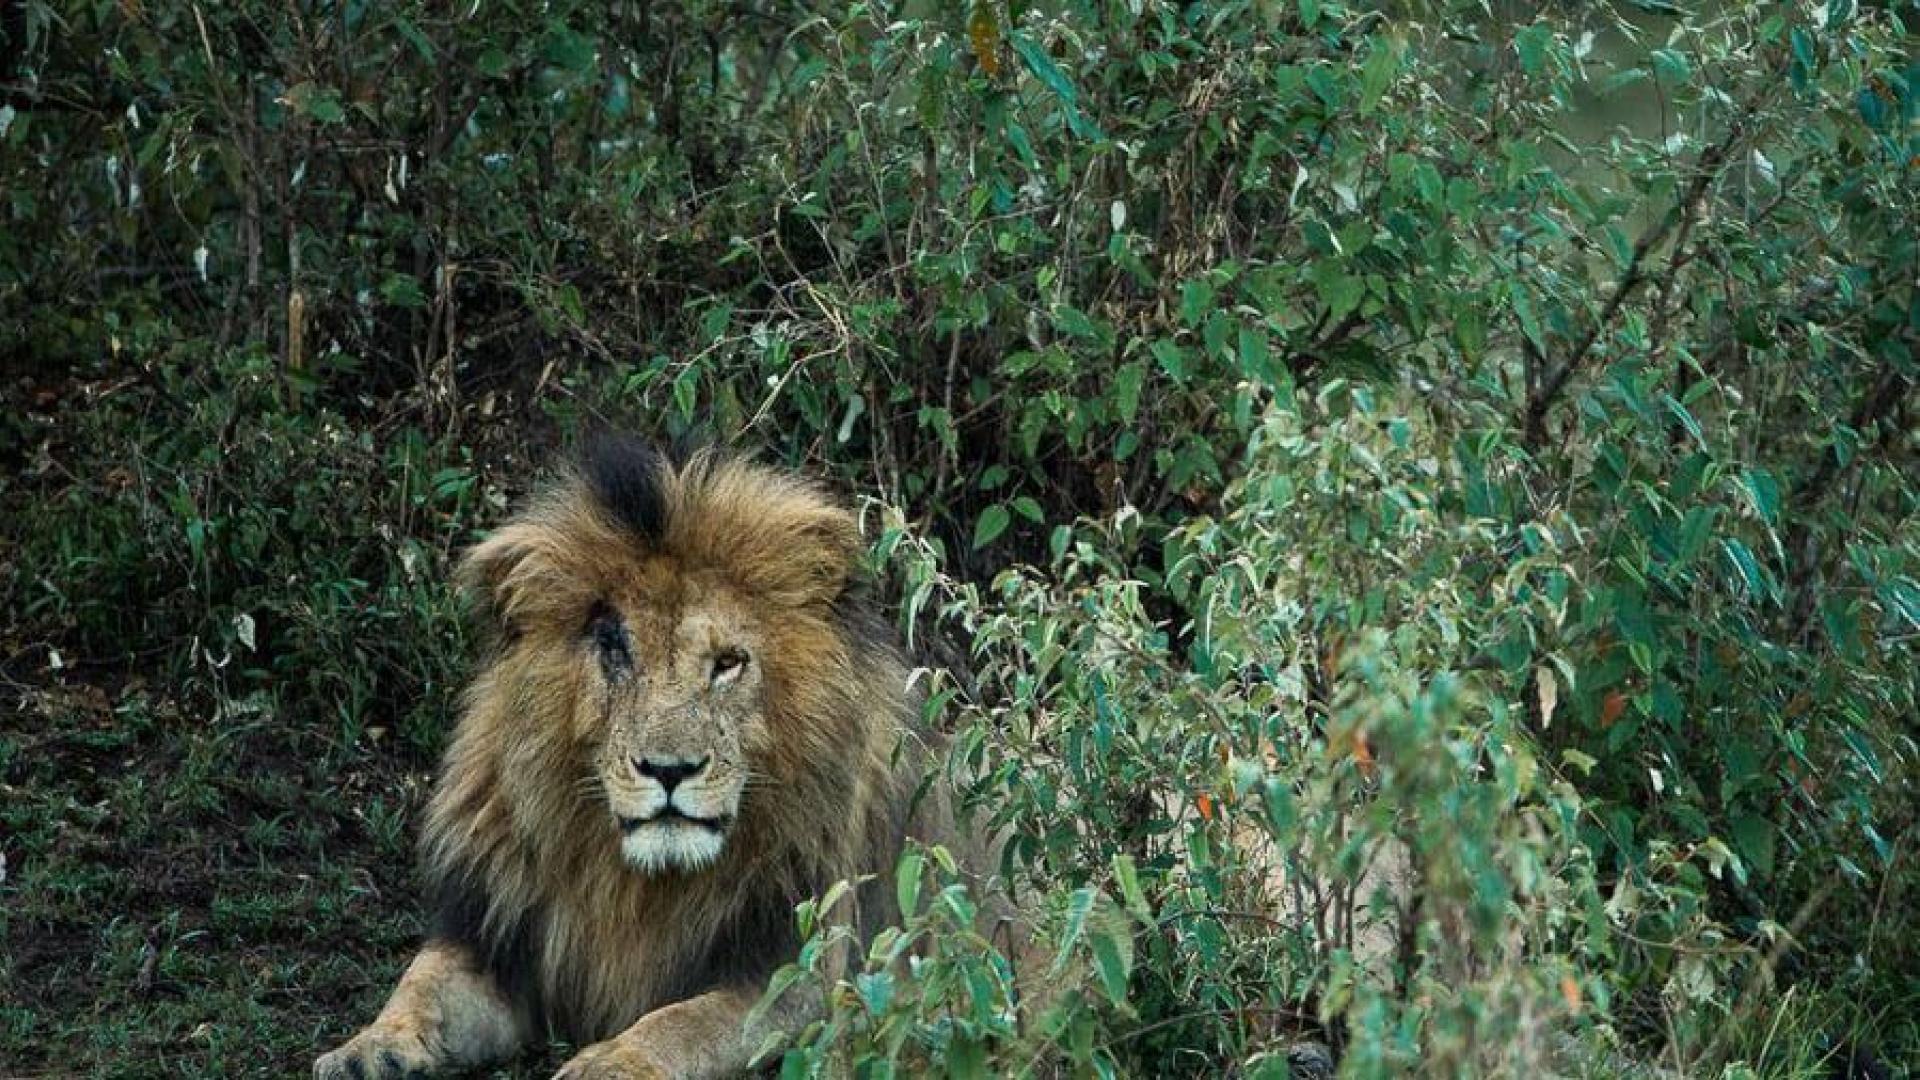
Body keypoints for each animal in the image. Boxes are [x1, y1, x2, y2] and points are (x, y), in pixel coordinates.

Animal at [315, 438, 1001, 1079]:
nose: (670, 771)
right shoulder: (494, 937)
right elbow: (419, 985)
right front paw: (366, 1049)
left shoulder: (797, 971)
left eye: (728, 663)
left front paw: (608, 1062)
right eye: (616, 650)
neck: (636, 887)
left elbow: (681, 1022)